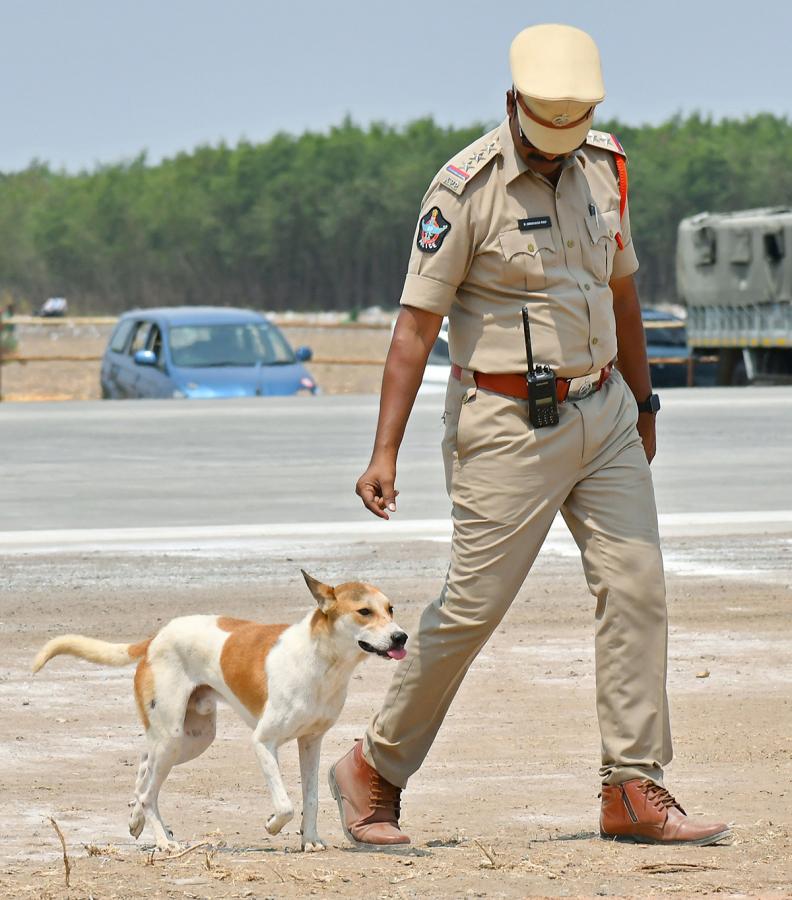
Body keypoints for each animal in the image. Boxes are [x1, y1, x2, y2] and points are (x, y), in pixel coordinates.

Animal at [31, 572, 408, 856]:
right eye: (364, 611)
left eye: (390, 609)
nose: (401, 636)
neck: (321, 660)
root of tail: (155, 638)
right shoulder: (263, 742)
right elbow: (285, 804)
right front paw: (272, 824)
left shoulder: (311, 742)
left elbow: (311, 797)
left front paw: (310, 839)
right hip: (172, 738)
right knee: (149, 791)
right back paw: (163, 841)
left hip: (192, 739)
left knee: (143, 770)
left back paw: (137, 821)